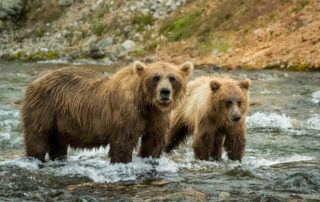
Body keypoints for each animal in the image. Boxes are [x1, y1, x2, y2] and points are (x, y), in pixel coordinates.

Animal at [21, 60, 192, 163]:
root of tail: (35, 82)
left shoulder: (157, 117)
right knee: (37, 139)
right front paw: (122, 161)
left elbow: (153, 142)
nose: (165, 92)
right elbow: (123, 143)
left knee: (58, 145)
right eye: (155, 77)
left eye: (172, 78)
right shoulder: (127, 113)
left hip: (60, 122)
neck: (146, 103)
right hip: (44, 108)